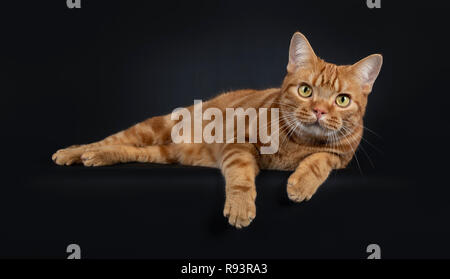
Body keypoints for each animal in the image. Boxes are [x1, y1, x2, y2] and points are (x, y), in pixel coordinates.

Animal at [52, 32, 384, 230]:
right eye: (305, 90)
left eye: (342, 100)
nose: (319, 111)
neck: (297, 143)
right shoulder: (238, 145)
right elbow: (240, 176)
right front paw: (240, 206)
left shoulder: (340, 157)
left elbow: (318, 161)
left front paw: (300, 184)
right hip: (156, 126)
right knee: (111, 139)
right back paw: (75, 153)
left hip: (165, 154)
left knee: (128, 150)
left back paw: (97, 157)